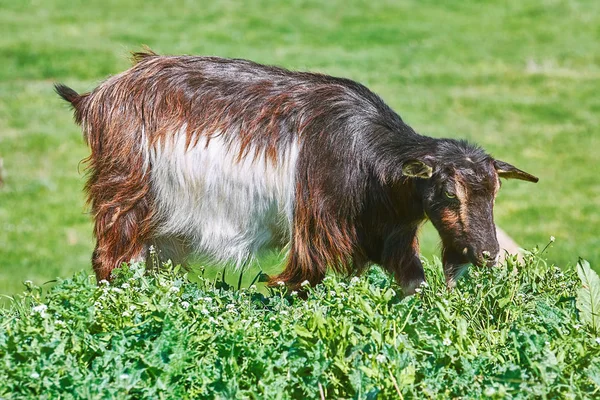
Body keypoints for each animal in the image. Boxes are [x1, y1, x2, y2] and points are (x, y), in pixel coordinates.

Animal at [56, 50, 540, 294]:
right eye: (449, 194)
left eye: (494, 193)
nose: (488, 254)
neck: (368, 159)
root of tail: (98, 96)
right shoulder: (316, 231)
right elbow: (299, 282)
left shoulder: (387, 235)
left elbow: (414, 283)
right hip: (125, 191)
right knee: (109, 259)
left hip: (159, 227)